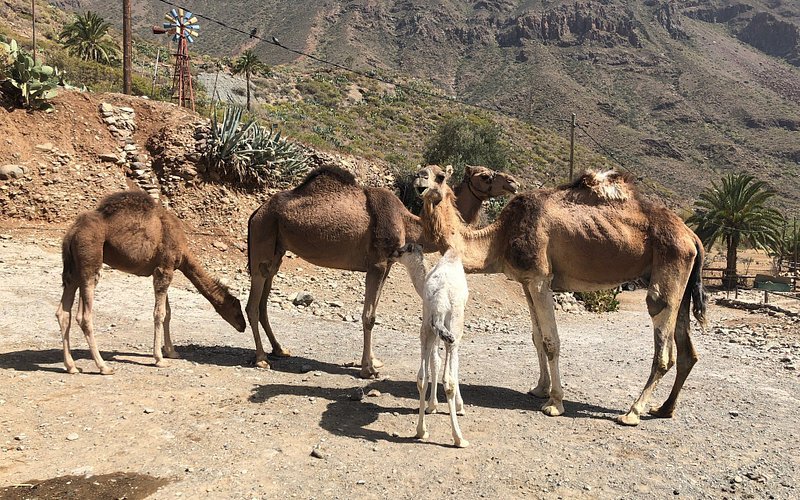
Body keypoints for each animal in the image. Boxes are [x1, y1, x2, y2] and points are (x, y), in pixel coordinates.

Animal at [57, 189, 247, 374]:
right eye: (237, 311)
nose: (243, 326)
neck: (184, 254)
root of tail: (72, 232)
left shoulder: (163, 269)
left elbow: (168, 313)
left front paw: (172, 352)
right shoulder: (164, 269)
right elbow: (159, 314)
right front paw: (159, 359)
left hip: (73, 269)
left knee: (63, 312)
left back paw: (72, 367)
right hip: (90, 260)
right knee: (84, 316)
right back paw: (104, 367)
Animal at [245, 166, 520, 376]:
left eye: (441, 175)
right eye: (485, 176)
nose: (513, 183)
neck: (408, 223)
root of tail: (256, 212)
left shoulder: (387, 265)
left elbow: (374, 314)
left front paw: (373, 361)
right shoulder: (376, 264)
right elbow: (368, 316)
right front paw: (368, 370)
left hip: (276, 250)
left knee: (264, 299)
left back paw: (279, 349)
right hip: (262, 238)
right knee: (252, 304)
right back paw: (261, 358)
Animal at [416, 167, 708, 426]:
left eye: (439, 176)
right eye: (424, 169)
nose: (419, 178)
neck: (499, 239)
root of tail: (692, 236)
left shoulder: (540, 278)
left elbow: (551, 341)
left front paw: (555, 403)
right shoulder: (526, 282)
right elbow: (536, 337)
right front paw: (540, 389)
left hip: (668, 271)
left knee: (664, 349)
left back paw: (632, 412)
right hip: (682, 281)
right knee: (687, 352)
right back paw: (664, 409)